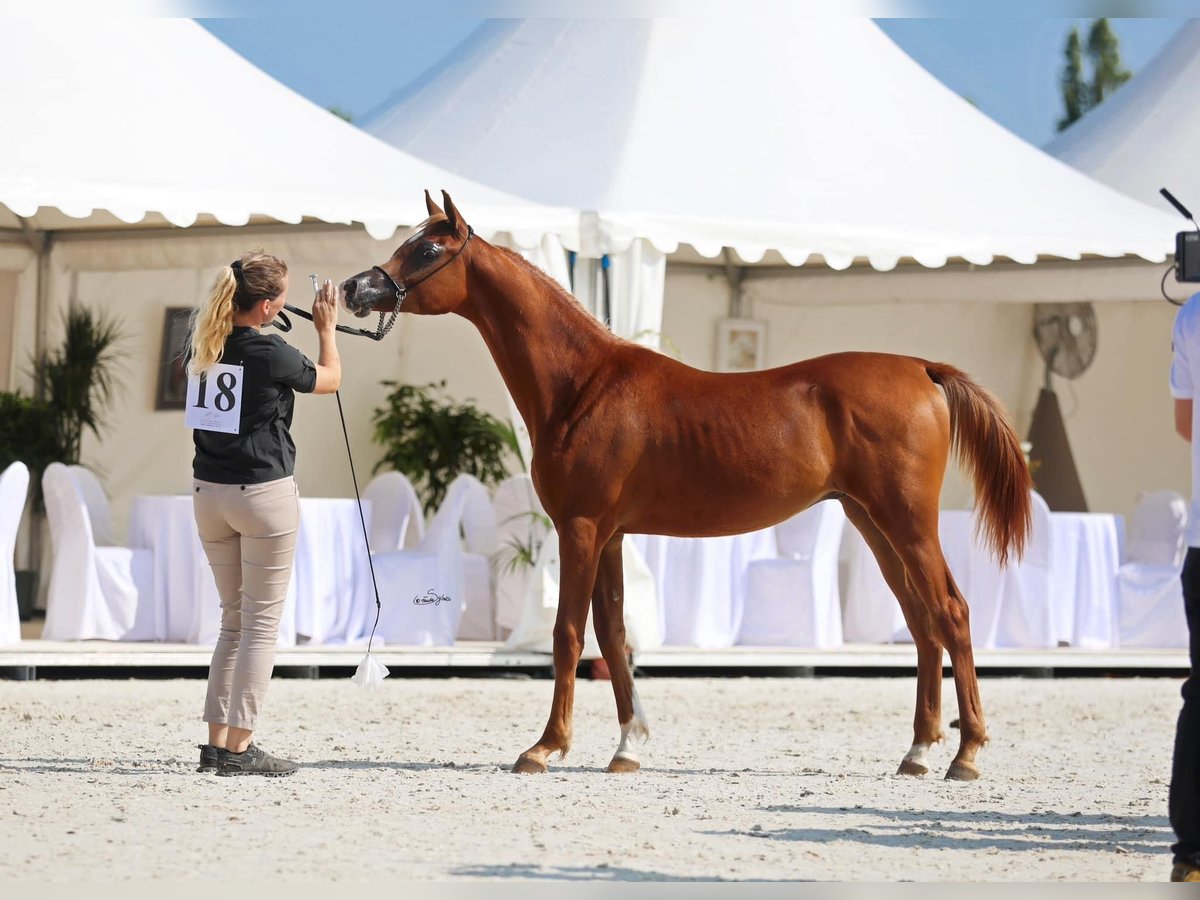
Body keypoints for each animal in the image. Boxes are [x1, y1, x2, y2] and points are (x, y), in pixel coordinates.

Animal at [345, 192, 1032, 782]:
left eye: (428, 250)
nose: (355, 288)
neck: (583, 384)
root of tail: (922, 368)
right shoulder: (611, 535)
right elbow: (613, 635)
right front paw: (628, 747)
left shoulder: (580, 528)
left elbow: (568, 634)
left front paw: (545, 747)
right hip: (873, 523)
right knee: (922, 623)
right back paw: (918, 752)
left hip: (907, 522)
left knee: (952, 613)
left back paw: (966, 754)